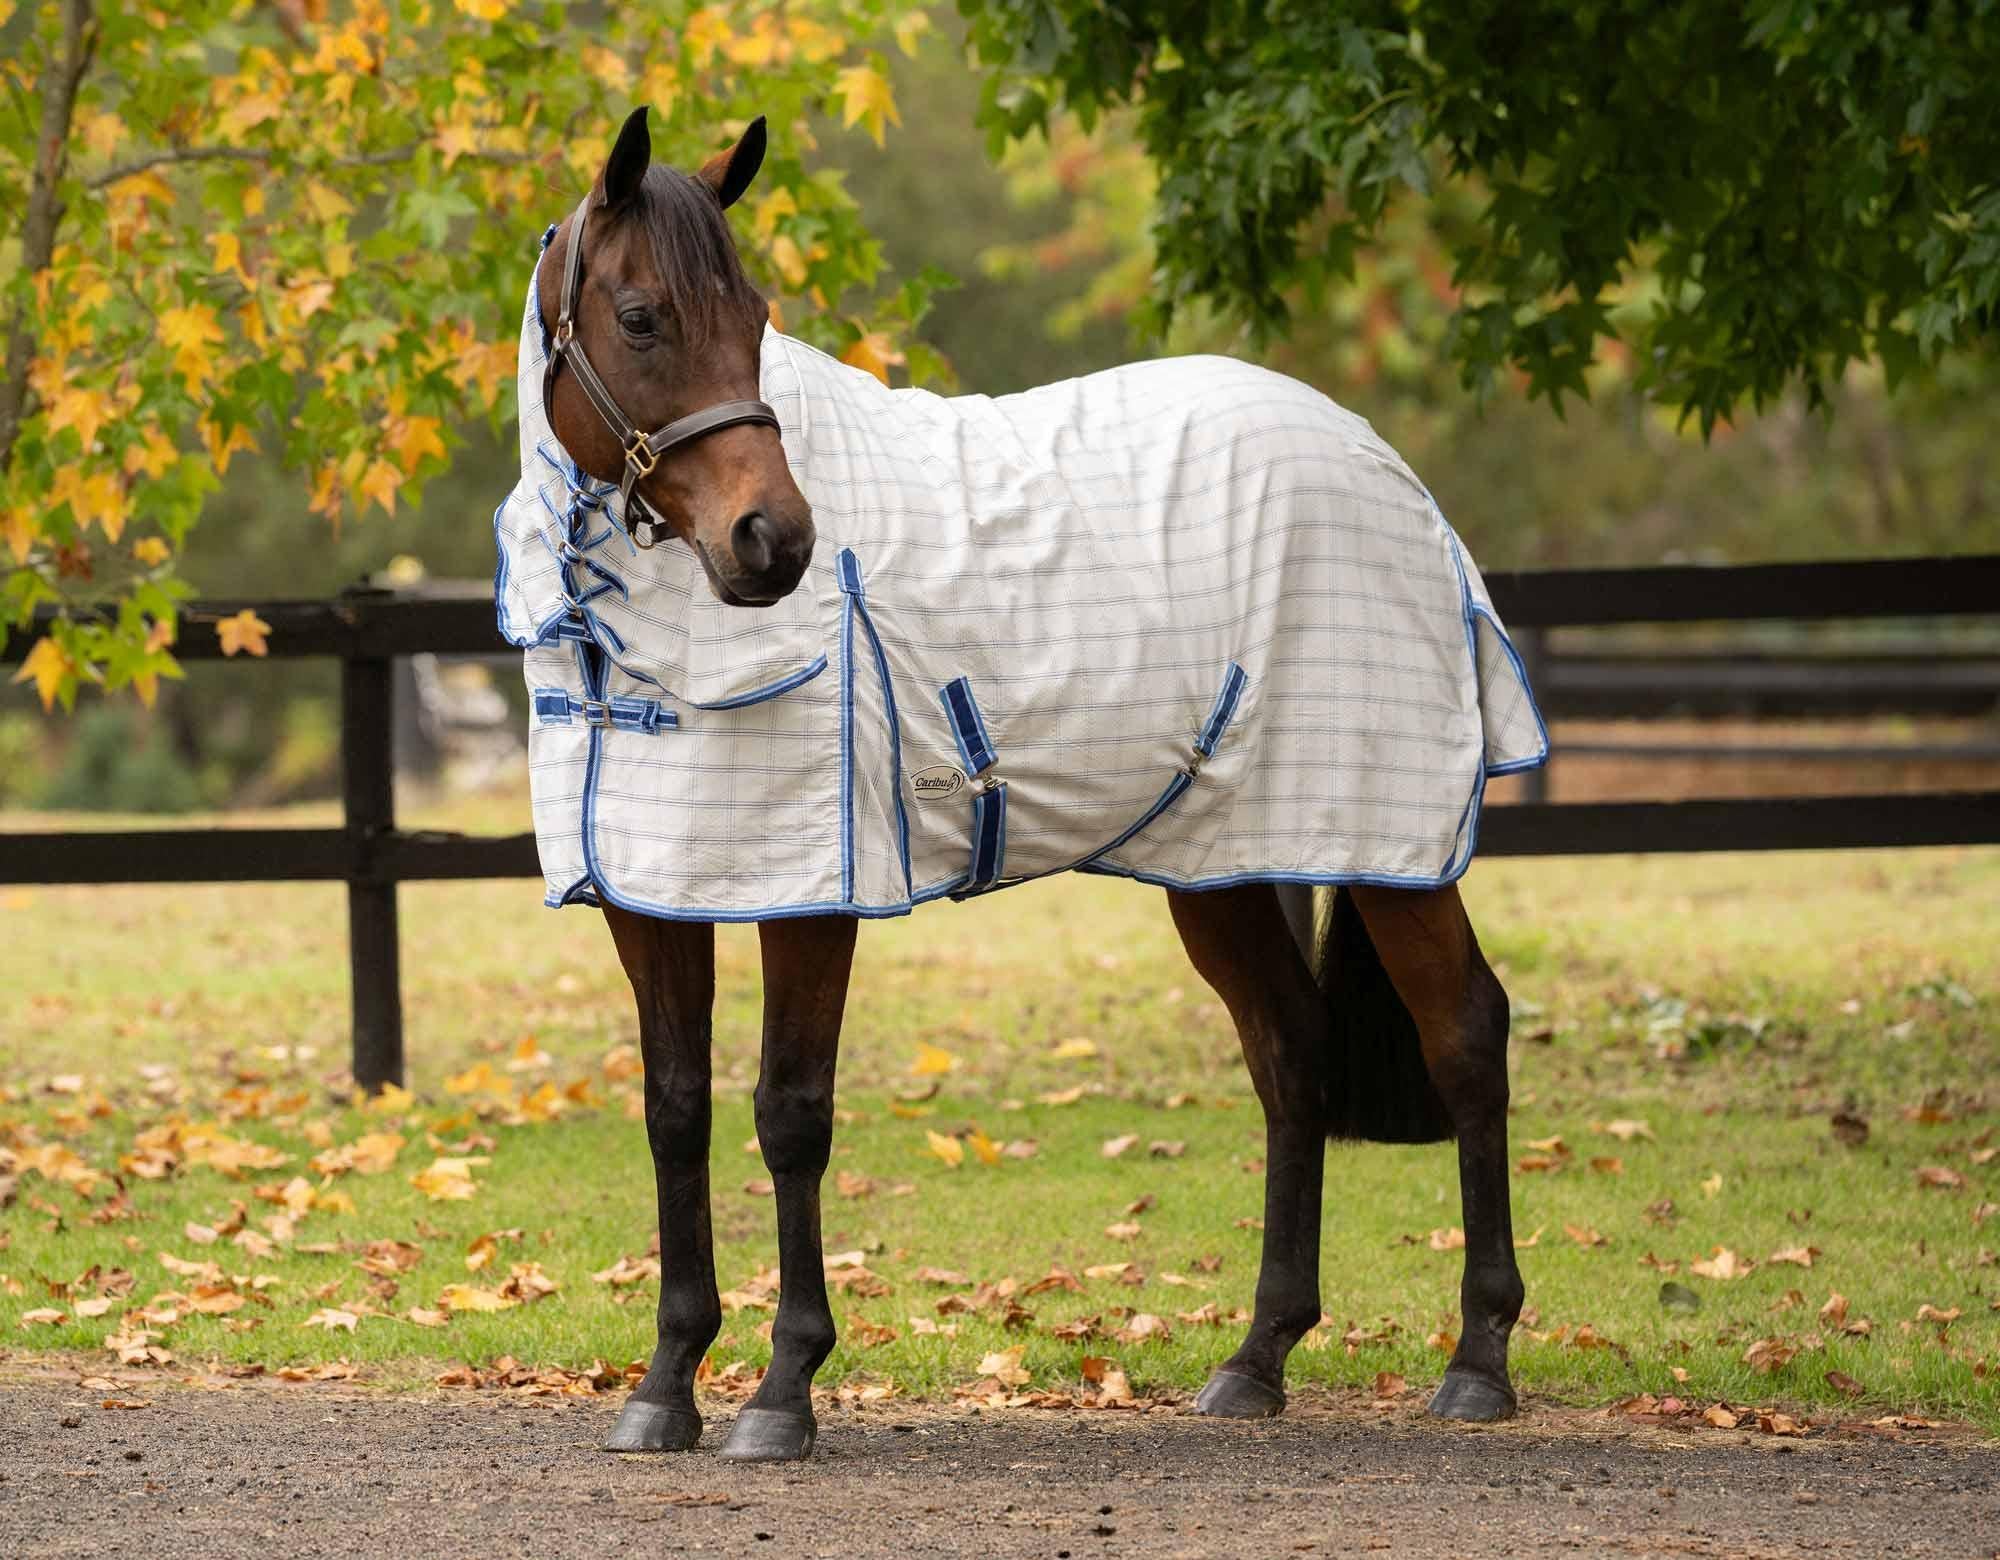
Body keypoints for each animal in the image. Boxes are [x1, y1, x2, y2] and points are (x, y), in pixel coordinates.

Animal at [502, 106, 1542, 1462]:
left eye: (758, 314)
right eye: (639, 318)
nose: (773, 543)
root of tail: (1381, 464)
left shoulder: (815, 898)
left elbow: (790, 1114)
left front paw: (784, 1392)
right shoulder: (652, 896)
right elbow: (676, 1111)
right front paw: (665, 1384)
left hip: (1384, 842)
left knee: (1464, 1034)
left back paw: (1477, 1359)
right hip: (1220, 863)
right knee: (1290, 1054)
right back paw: (1255, 1358)